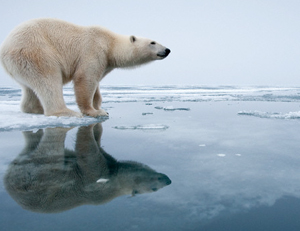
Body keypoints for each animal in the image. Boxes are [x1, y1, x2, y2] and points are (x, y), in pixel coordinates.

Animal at [0, 18, 170, 117]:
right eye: (153, 42)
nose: (167, 50)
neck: (110, 43)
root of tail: (4, 48)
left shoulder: (105, 62)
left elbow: (96, 84)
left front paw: (100, 107)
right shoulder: (94, 49)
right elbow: (85, 78)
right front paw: (94, 112)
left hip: (20, 64)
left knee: (30, 87)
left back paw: (36, 109)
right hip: (35, 51)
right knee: (48, 79)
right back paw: (66, 112)